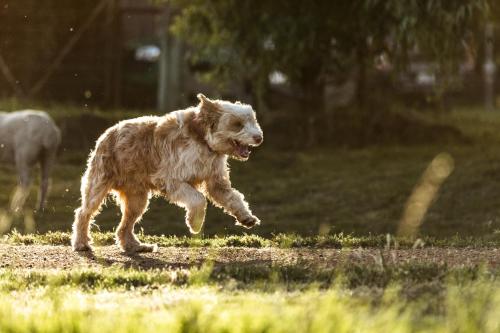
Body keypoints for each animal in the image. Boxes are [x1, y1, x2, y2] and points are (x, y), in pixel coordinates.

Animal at [72, 93, 264, 252]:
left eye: (253, 121)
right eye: (237, 124)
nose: (259, 137)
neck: (203, 141)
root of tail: (106, 134)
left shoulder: (216, 182)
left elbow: (234, 197)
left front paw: (246, 217)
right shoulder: (171, 180)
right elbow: (198, 199)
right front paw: (194, 223)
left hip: (137, 200)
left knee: (124, 227)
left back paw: (135, 246)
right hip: (97, 187)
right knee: (83, 213)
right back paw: (81, 243)